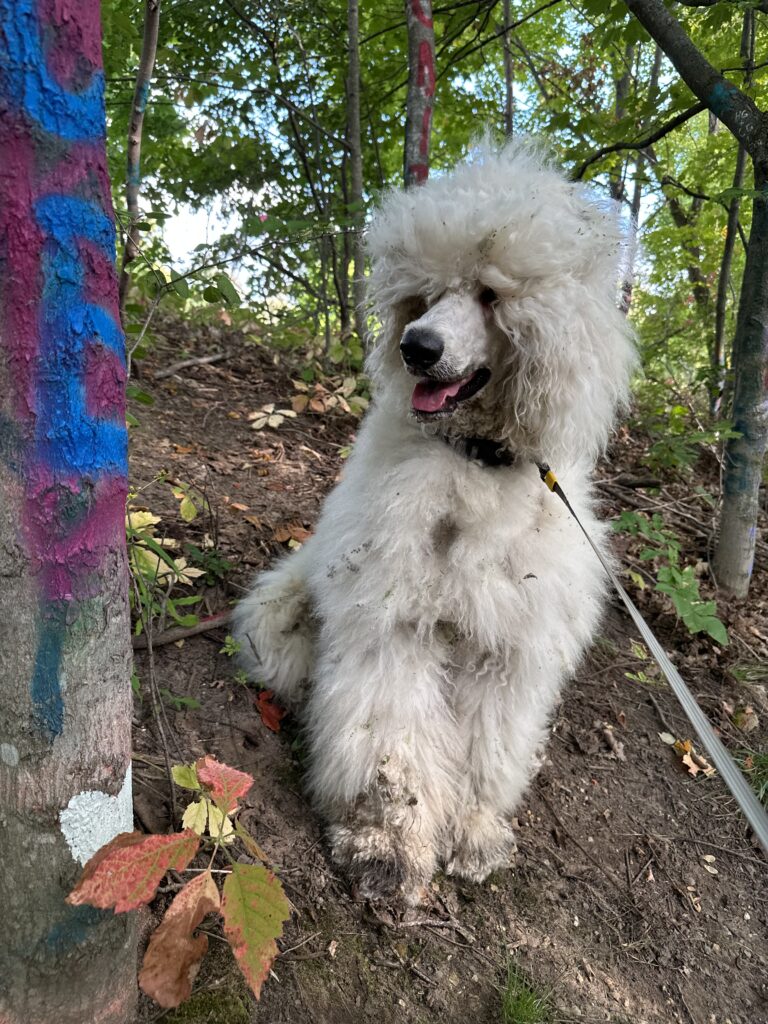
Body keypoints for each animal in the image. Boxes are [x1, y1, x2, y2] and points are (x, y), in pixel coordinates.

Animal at [233, 140, 636, 904]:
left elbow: (488, 747)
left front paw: (472, 830)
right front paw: (386, 844)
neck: (473, 458)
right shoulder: (393, 621)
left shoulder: (508, 648)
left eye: (491, 295)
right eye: (424, 295)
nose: (415, 346)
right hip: (281, 617)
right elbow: (391, 742)